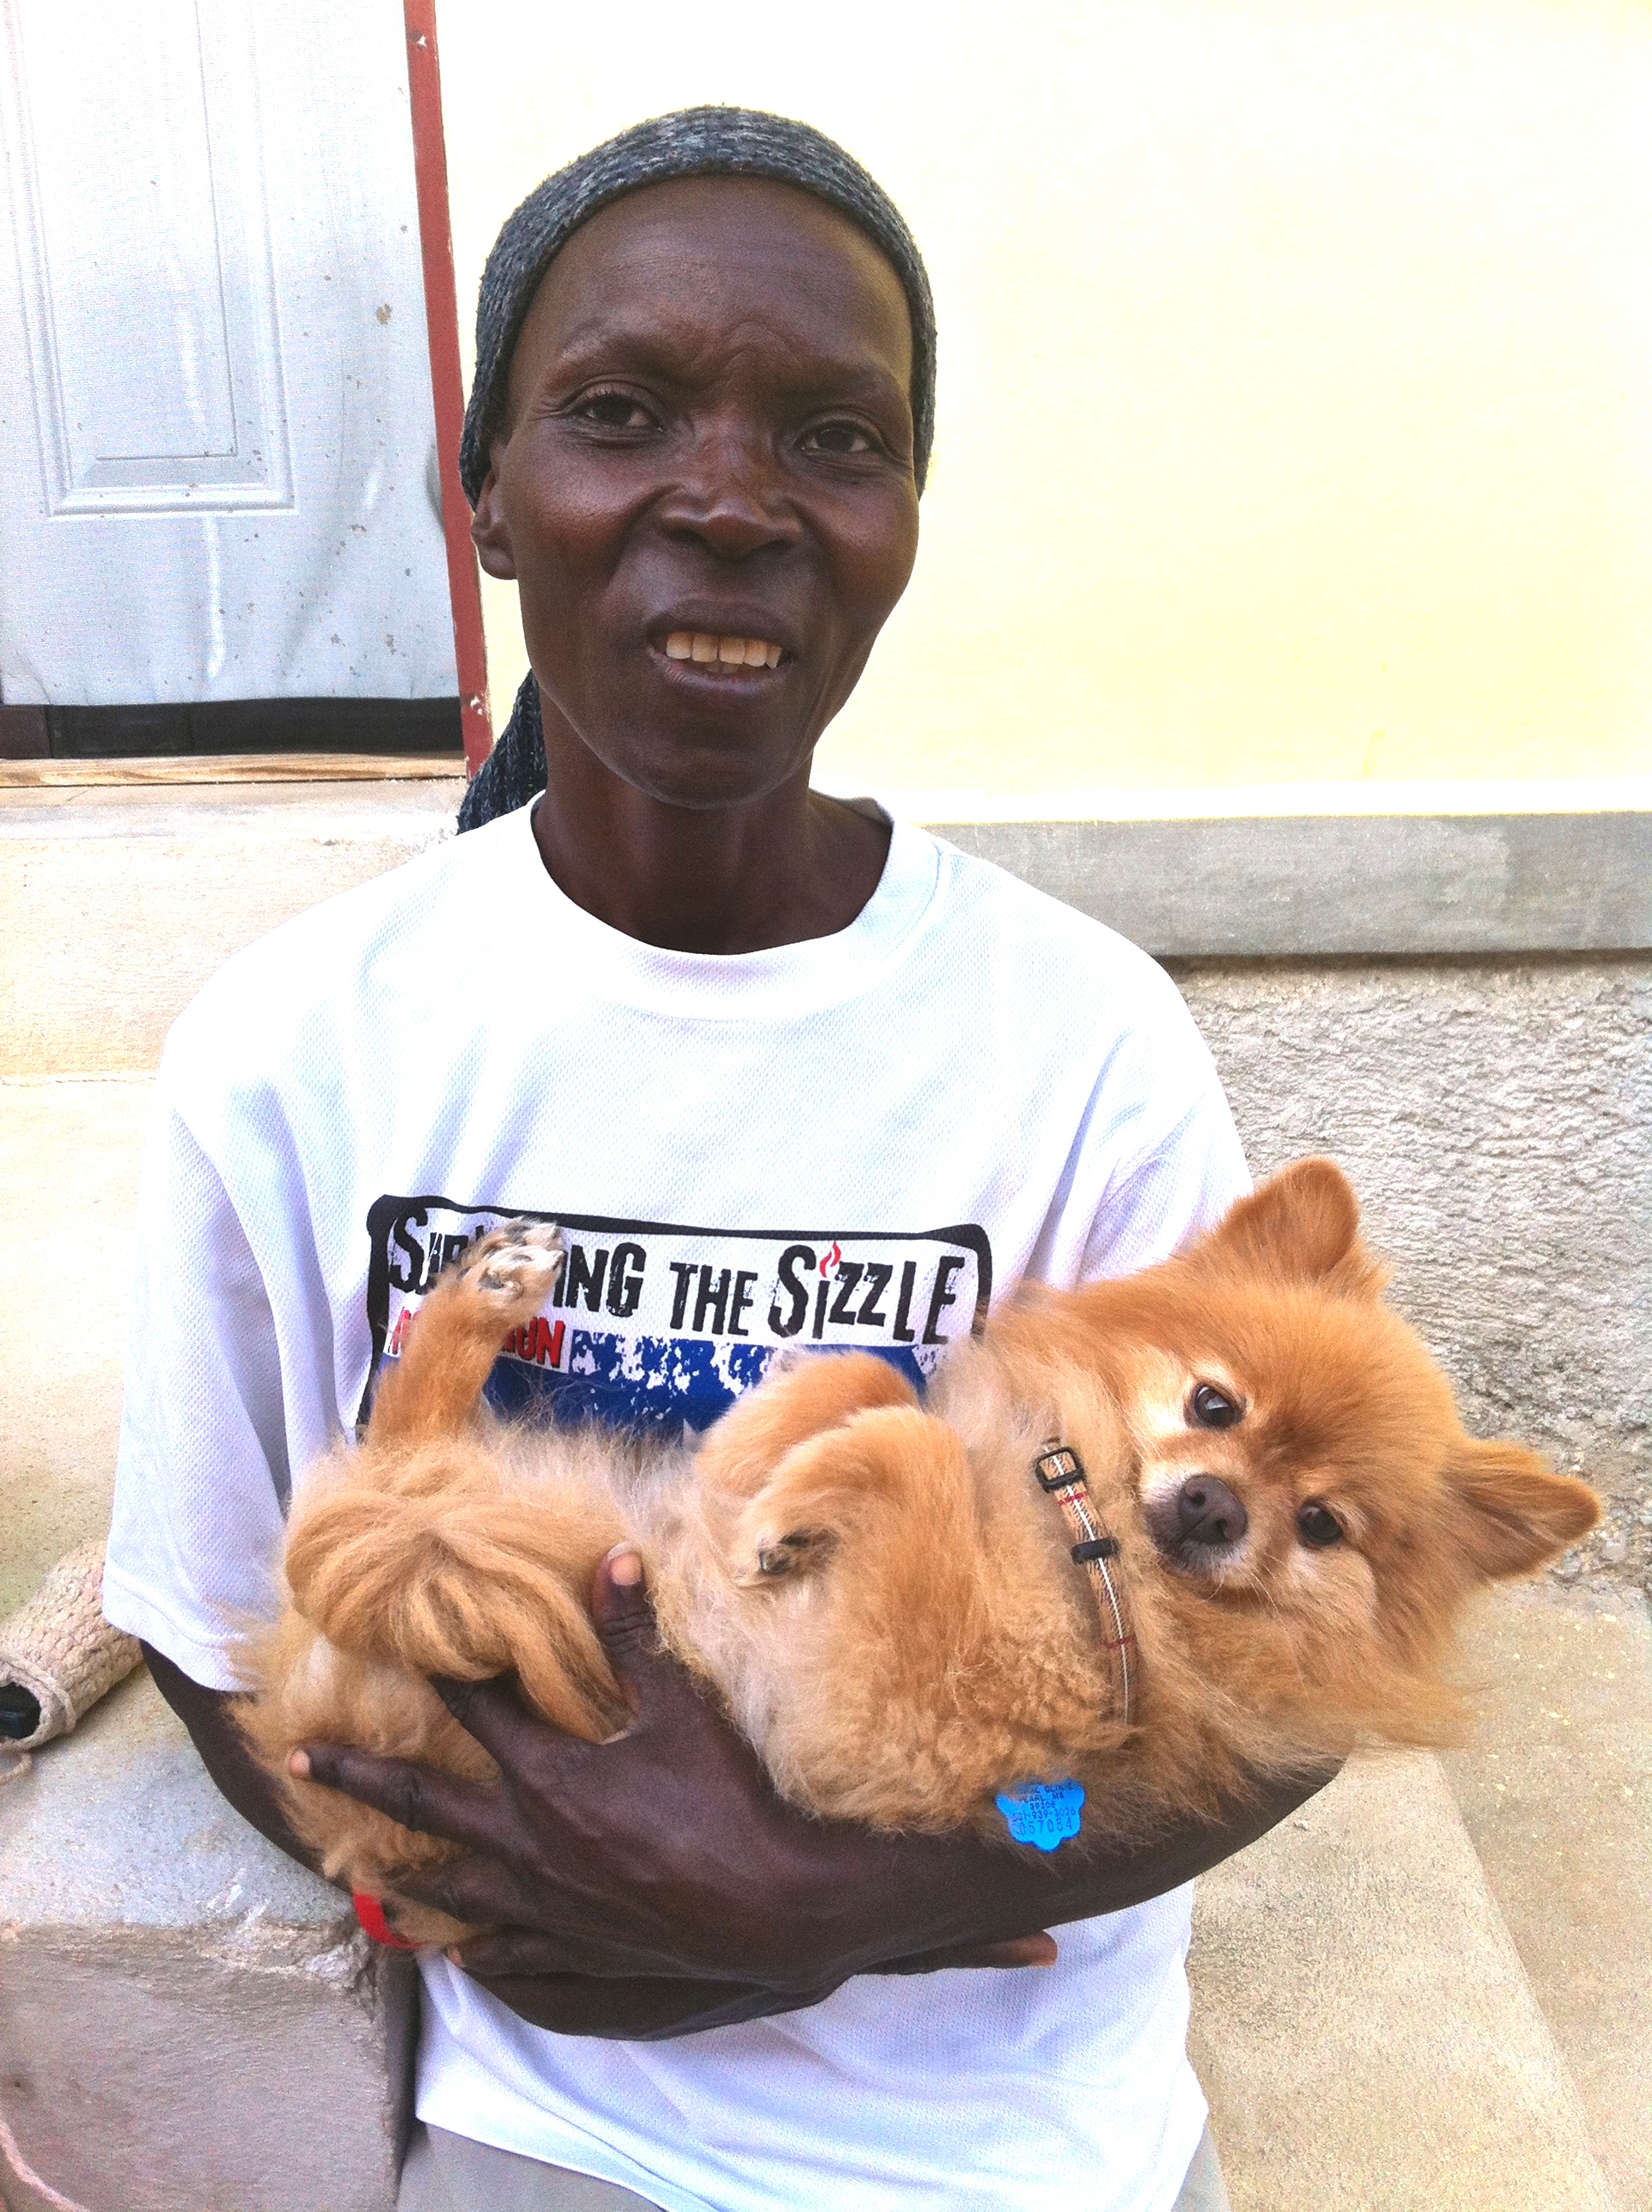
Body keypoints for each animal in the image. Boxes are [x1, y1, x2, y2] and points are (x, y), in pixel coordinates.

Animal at [236, 1159, 1599, 1946]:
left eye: (1322, 1526)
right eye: (1216, 1405)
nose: (1218, 1507)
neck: (1084, 1532)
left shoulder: (875, 1715)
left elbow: (913, 1449)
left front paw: (784, 1505)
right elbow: (877, 1388)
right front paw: (764, 1446)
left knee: (394, 1474)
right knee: (397, 1443)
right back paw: (489, 1290)